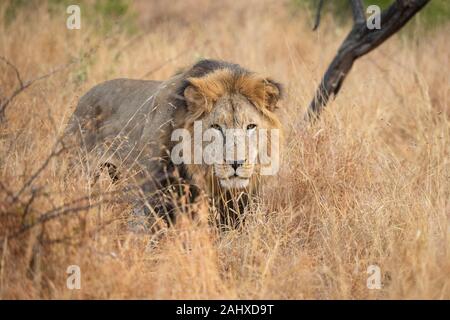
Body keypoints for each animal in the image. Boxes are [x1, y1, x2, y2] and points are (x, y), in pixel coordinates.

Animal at [65, 59, 284, 228]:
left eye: (251, 126)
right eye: (216, 127)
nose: (236, 163)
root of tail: (84, 97)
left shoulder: (237, 203)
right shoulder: (153, 192)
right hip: (78, 171)